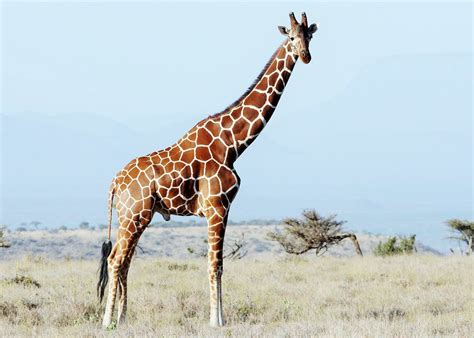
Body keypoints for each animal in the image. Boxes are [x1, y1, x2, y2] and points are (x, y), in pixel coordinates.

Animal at [97, 12, 318, 328]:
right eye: (290, 37)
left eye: (309, 36)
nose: (306, 56)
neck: (234, 143)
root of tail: (115, 181)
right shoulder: (217, 207)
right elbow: (215, 265)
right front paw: (217, 321)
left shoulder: (222, 208)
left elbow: (219, 264)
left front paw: (219, 318)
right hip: (134, 215)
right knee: (116, 260)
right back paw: (108, 322)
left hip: (135, 217)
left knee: (123, 259)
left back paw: (124, 318)